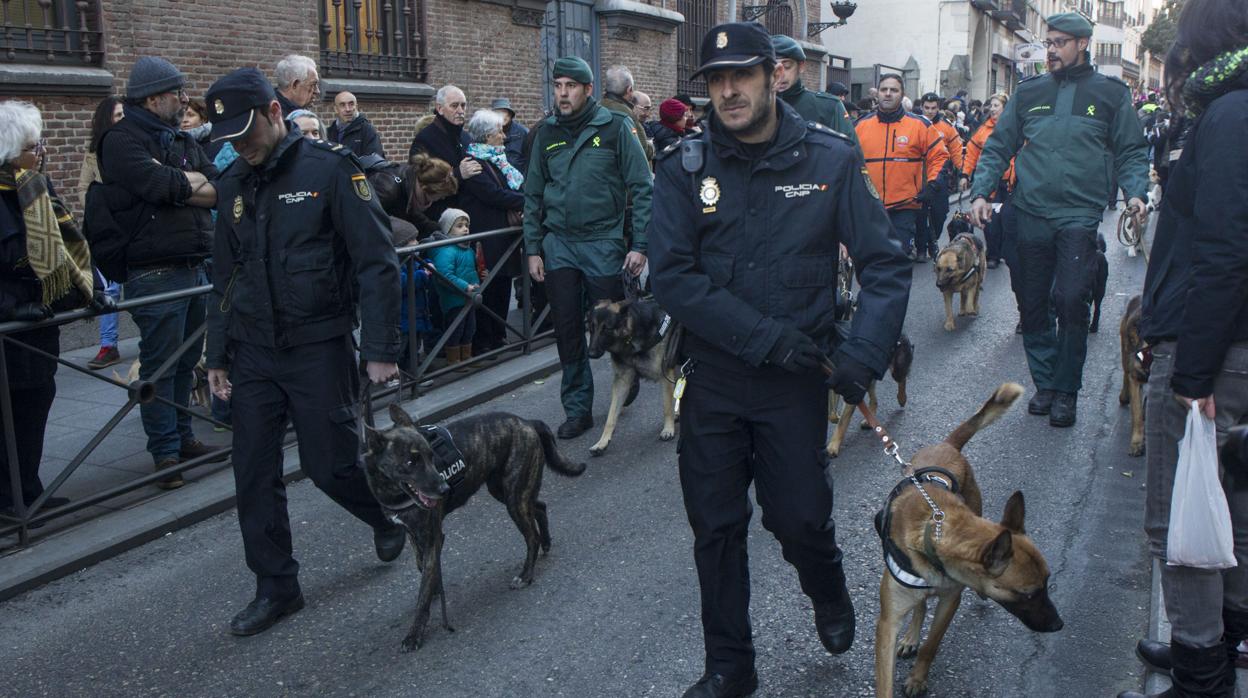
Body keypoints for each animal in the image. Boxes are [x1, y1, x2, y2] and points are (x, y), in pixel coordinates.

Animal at [364, 407, 586, 654]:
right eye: (411, 461)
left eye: (431, 457)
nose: (444, 489)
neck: (392, 491)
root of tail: (526, 422)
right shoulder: (415, 536)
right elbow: (424, 569)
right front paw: (434, 588)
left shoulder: (432, 538)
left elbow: (423, 593)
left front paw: (414, 634)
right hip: (505, 491)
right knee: (540, 507)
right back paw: (546, 543)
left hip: (514, 498)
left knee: (532, 536)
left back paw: (526, 574)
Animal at [586, 295, 678, 457]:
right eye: (591, 327)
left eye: (606, 329)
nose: (590, 354)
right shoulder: (622, 382)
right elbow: (611, 416)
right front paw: (601, 442)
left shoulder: (666, 375)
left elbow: (666, 406)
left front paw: (668, 429)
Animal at [878, 384, 1063, 694]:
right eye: (1028, 594)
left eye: (1047, 584)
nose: (1058, 625)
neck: (935, 533)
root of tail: (948, 445)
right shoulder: (888, 622)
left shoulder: (950, 600)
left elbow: (931, 645)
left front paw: (917, 678)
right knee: (920, 605)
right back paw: (912, 635)